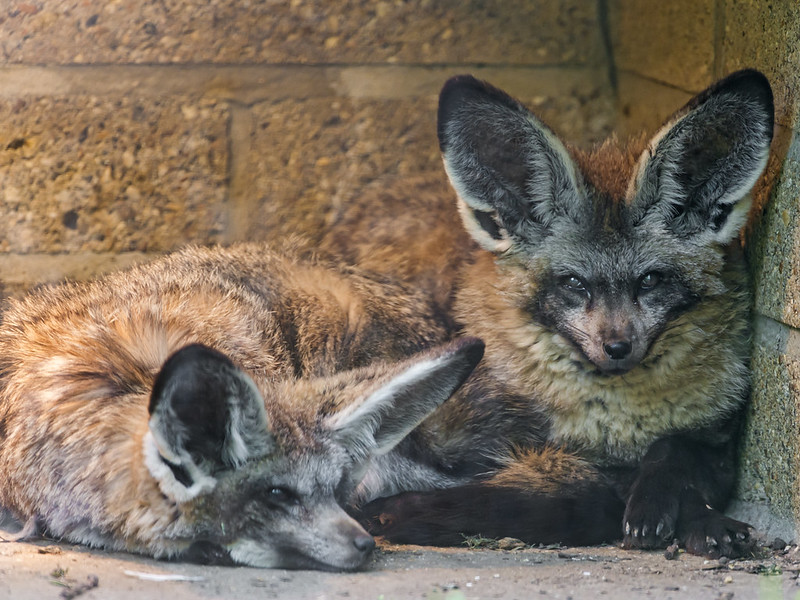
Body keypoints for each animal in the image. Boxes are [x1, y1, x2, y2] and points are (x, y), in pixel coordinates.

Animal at [320, 70, 775, 557]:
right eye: (574, 283)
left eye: (650, 280)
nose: (617, 347)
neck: (616, 427)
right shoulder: (473, 441)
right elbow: (588, 493)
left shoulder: (719, 441)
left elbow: (674, 454)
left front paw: (685, 515)